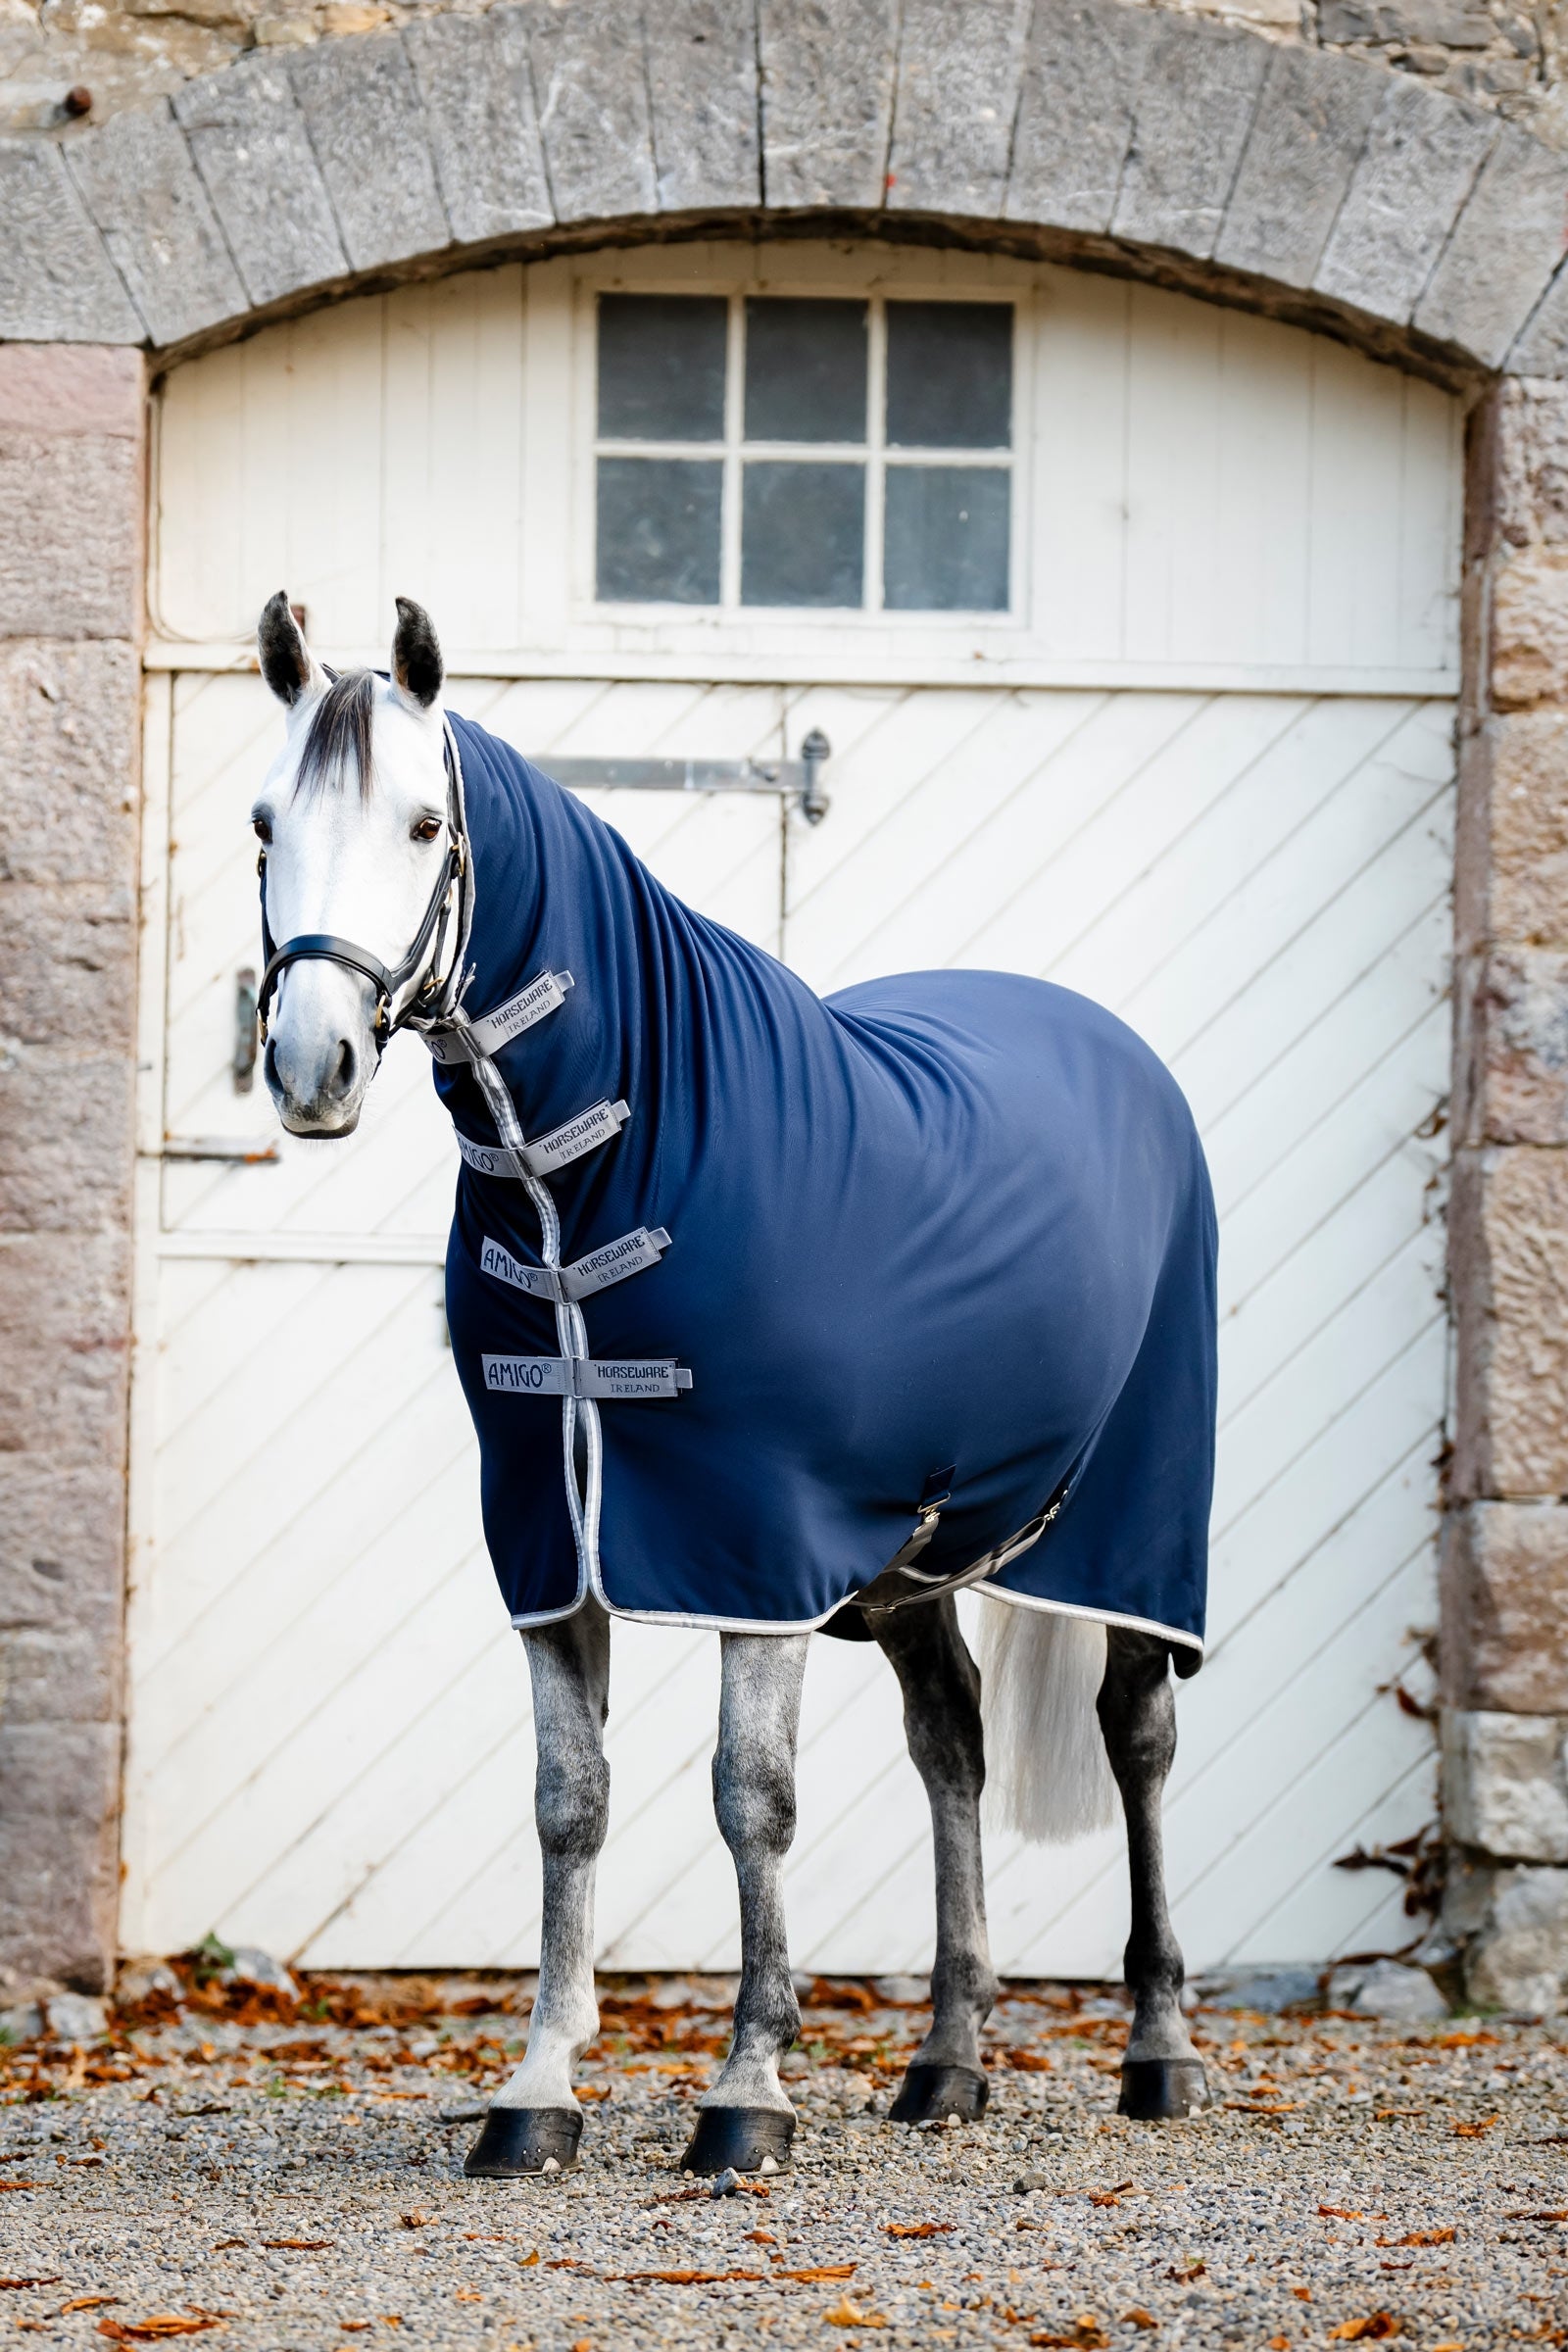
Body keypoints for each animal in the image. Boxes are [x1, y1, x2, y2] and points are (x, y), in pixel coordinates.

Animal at [249, 590, 1218, 2179]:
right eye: (266, 818)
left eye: (420, 824)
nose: (308, 1065)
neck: (588, 1177)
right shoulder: (556, 1541)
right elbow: (567, 1804)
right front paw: (538, 2092)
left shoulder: (750, 1546)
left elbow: (748, 1799)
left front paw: (748, 2088)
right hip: (917, 1562)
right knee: (951, 1746)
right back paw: (947, 2063)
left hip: (1132, 1521)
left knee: (1138, 1736)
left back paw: (1159, 2048)